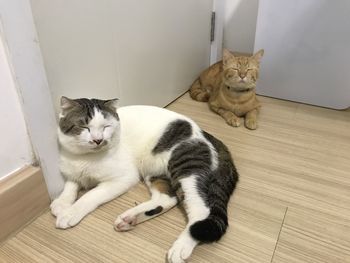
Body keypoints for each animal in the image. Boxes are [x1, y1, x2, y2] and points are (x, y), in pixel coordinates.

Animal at [51, 97, 238, 263]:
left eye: (106, 127)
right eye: (84, 126)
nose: (98, 140)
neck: (85, 158)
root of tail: (206, 134)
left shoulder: (123, 178)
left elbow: (90, 196)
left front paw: (70, 212)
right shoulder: (72, 169)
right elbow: (71, 184)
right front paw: (61, 202)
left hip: (186, 167)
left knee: (200, 211)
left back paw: (181, 246)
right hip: (154, 172)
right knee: (167, 199)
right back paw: (131, 218)